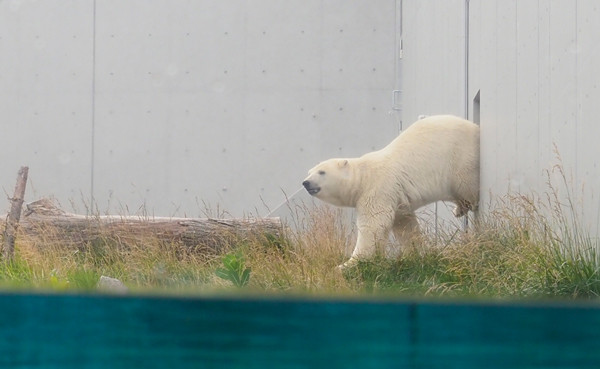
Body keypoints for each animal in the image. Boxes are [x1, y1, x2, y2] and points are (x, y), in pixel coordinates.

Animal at [302, 114, 480, 268]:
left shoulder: (378, 188)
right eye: (309, 172)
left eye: (322, 172)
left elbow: (373, 224)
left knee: (466, 184)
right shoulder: (398, 199)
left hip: (460, 158)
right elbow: (404, 225)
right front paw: (413, 253)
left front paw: (347, 265)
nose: (306, 183)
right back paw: (459, 209)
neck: (363, 177)